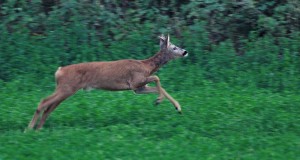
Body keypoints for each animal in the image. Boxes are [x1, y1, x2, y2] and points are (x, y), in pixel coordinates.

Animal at [27, 34, 188, 129]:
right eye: (174, 47)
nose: (185, 51)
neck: (146, 66)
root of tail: (59, 71)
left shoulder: (137, 88)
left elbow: (159, 86)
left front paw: (177, 108)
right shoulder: (136, 81)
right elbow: (157, 78)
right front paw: (159, 101)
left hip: (65, 89)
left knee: (49, 107)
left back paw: (38, 129)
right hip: (67, 87)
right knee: (43, 102)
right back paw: (28, 129)